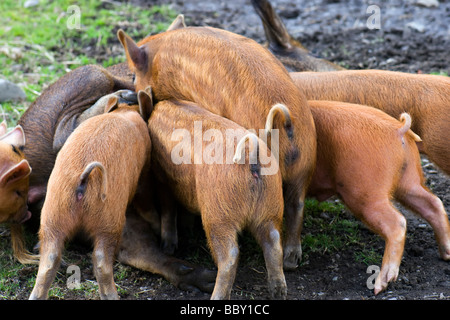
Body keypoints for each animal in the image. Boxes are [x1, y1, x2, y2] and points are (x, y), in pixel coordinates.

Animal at [30, 92, 153, 300]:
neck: (124, 112)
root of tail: (82, 179)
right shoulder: (144, 169)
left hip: (52, 214)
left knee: (48, 262)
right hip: (109, 219)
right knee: (101, 261)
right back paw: (113, 296)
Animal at [118, 26, 316, 270]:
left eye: (134, 75)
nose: (129, 92)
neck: (159, 58)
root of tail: (287, 124)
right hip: (305, 163)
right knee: (296, 206)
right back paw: (291, 261)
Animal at [149, 95, 286, 300]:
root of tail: (251, 154)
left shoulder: (161, 178)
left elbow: (168, 208)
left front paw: (168, 247)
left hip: (218, 213)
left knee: (230, 256)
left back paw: (216, 296)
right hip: (271, 206)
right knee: (274, 242)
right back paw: (279, 292)